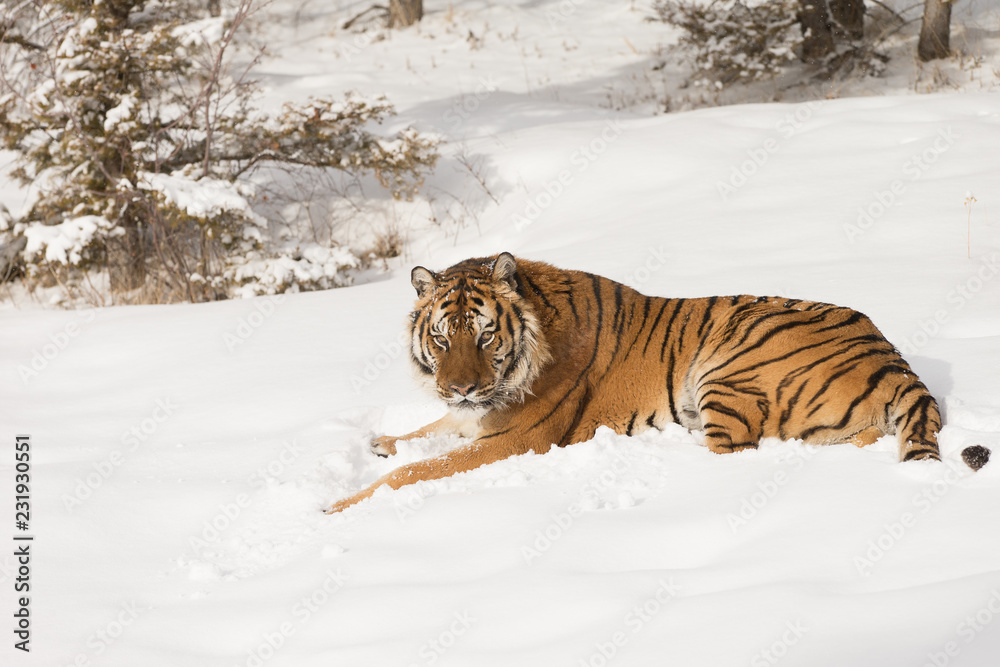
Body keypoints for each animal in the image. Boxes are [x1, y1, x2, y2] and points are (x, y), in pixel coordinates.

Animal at [326, 253, 984, 516]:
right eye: (442, 339)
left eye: (486, 336)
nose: (459, 387)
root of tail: (892, 357)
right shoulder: (473, 416)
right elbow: (428, 432)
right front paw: (381, 441)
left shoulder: (515, 439)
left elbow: (416, 471)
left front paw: (335, 504)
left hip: (726, 365)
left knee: (736, 453)